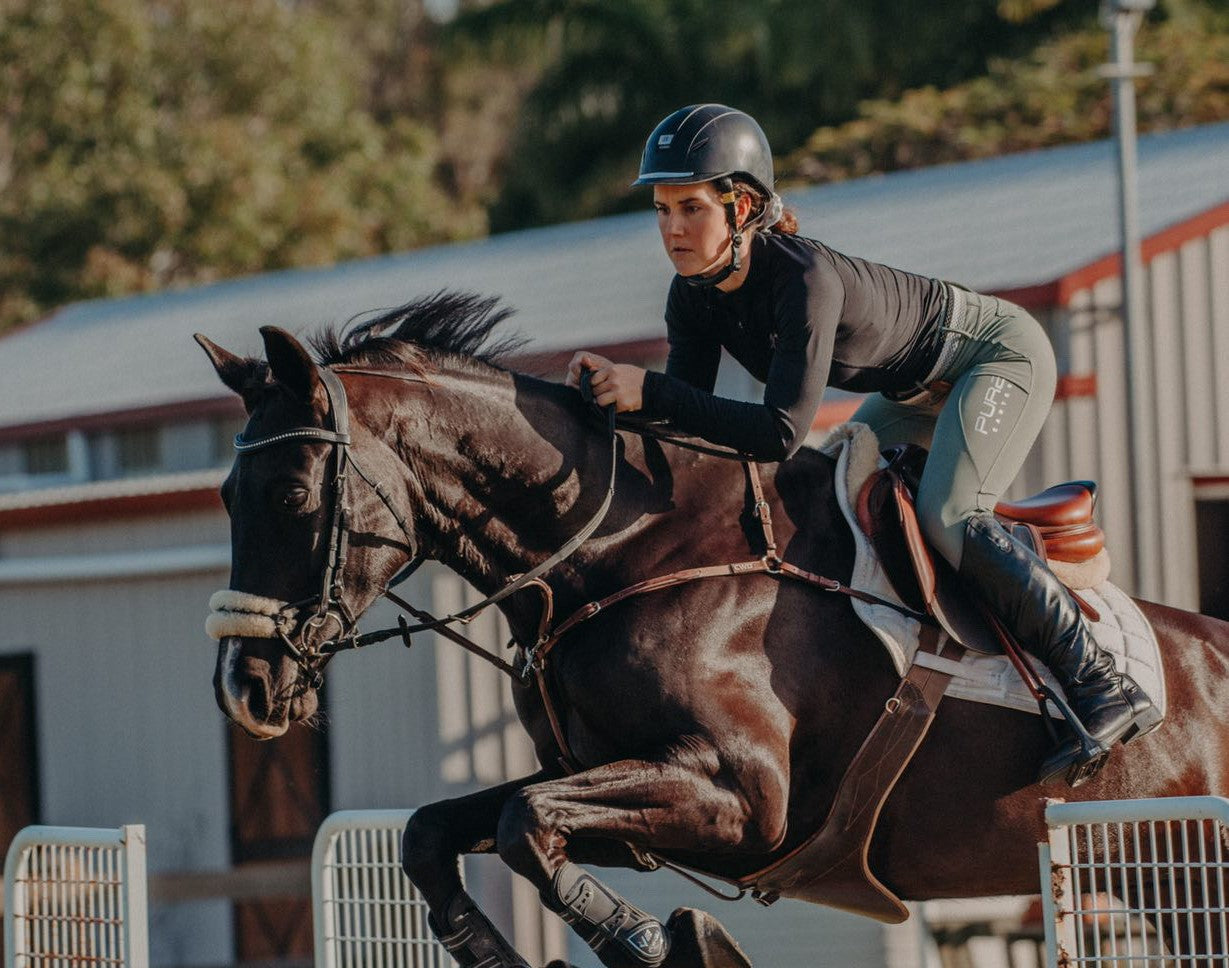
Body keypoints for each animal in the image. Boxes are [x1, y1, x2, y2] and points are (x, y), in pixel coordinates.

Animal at [196, 294, 1229, 967]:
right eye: (225, 497)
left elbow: (526, 824)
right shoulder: (616, 787)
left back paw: (1105, 709)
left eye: (289, 495)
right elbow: (439, 831)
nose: (243, 689)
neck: (626, 548)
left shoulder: (740, 799)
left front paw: (658, 943)